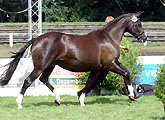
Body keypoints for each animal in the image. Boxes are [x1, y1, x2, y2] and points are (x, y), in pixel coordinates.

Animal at [0, 11, 147, 108]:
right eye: (138, 24)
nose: (144, 38)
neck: (108, 38)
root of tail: (36, 39)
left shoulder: (101, 67)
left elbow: (91, 83)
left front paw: (81, 99)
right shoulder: (109, 65)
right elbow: (125, 73)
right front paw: (131, 95)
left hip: (50, 66)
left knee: (44, 79)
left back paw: (58, 99)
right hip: (40, 66)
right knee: (28, 81)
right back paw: (19, 103)